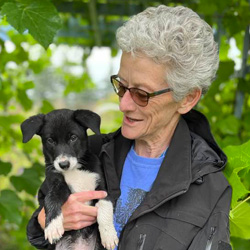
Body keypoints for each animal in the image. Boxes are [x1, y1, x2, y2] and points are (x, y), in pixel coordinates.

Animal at [21, 109, 118, 250]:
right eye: (50, 140)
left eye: (73, 137)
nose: (64, 164)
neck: (74, 170)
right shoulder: (56, 184)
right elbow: (51, 199)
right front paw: (52, 226)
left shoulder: (102, 188)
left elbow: (105, 208)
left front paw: (109, 235)